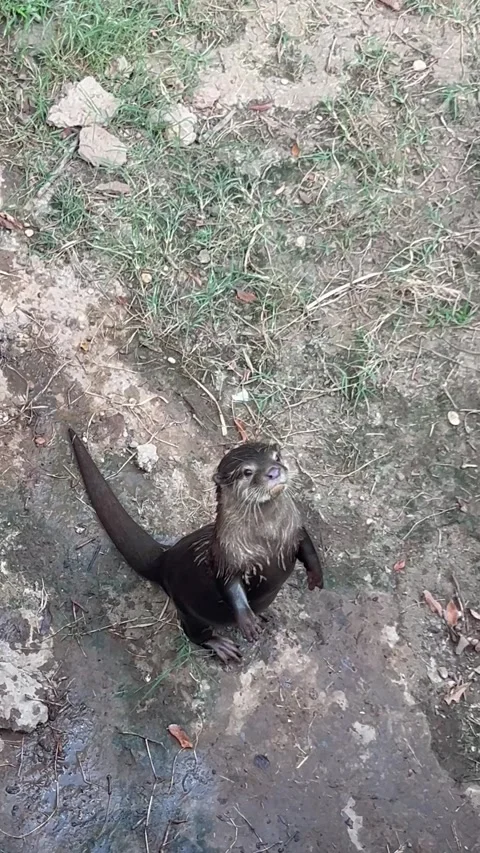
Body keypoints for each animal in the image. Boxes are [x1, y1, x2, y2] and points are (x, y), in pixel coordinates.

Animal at [68, 429, 324, 662]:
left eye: (277, 457)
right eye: (247, 472)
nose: (274, 471)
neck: (268, 539)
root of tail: (166, 558)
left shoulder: (296, 530)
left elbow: (308, 548)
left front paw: (316, 576)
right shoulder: (225, 554)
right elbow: (229, 585)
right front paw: (247, 620)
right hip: (187, 609)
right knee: (193, 633)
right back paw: (221, 644)